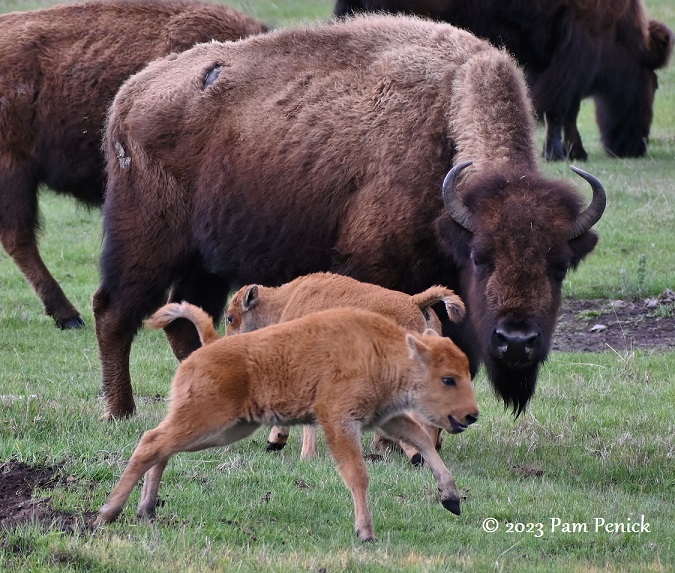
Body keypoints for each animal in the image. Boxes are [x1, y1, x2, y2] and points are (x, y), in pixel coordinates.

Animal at [93, 304, 480, 540]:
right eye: (448, 379)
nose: (471, 415)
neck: (384, 352)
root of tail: (207, 348)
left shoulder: (387, 418)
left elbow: (423, 441)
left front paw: (451, 498)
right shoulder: (339, 422)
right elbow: (357, 473)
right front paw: (366, 532)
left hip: (222, 429)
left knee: (162, 447)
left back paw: (145, 510)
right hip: (208, 421)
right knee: (152, 443)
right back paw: (107, 514)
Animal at [336, 1, 672, 161]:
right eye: (653, 82)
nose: (636, 147)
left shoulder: (548, 59)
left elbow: (563, 110)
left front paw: (573, 151)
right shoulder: (577, 50)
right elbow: (563, 108)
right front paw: (560, 152)